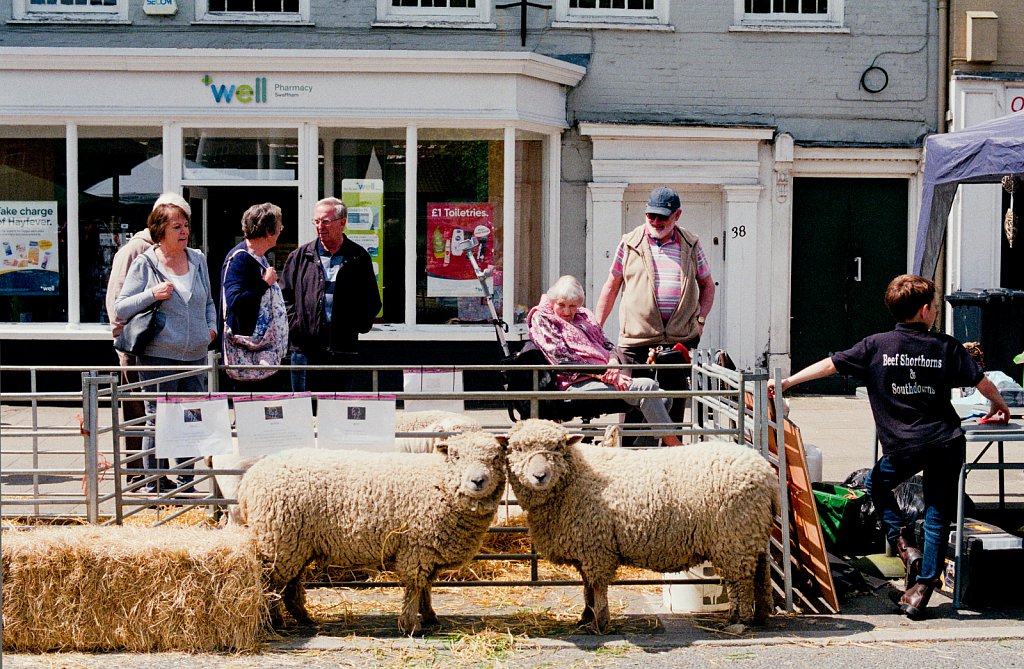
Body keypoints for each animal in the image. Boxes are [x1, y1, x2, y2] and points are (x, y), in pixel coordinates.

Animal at [232, 428, 503, 631]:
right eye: (456, 456)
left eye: (495, 458)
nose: (477, 481)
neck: (439, 481)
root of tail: (249, 479)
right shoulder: (416, 548)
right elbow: (415, 587)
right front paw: (410, 625)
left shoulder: (429, 550)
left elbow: (426, 586)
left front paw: (429, 616)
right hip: (277, 540)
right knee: (271, 584)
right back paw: (276, 622)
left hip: (295, 544)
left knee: (289, 584)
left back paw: (304, 618)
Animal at [503, 417, 774, 631]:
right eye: (517, 448)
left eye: (557, 447)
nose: (540, 476)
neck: (575, 475)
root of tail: (765, 471)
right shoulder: (584, 549)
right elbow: (586, 586)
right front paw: (585, 616)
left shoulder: (596, 548)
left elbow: (597, 586)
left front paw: (599, 622)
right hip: (750, 533)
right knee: (760, 572)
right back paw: (760, 615)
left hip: (733, 537)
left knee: (741, 582)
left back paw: (738, 620)